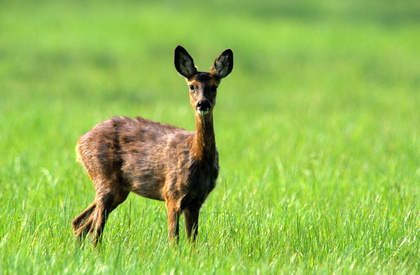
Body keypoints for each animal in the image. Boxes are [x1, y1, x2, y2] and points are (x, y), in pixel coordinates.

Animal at [71, 45, 233, 246]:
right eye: (191, 86)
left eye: (214, 87)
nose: (202, 104)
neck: (198, 158)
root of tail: (80, 143)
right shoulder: (172, 194)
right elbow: (174, 240)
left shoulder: (196, 201)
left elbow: (192, 242)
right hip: (103, 176)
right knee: (95, 230)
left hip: (120, 189)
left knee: (80, 222)